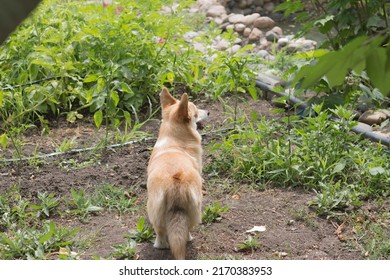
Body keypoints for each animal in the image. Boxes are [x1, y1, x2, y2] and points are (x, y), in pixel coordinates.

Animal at [146, 88, 209, 260]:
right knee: (185, 230)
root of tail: (176, 181)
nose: (208, 111)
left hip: (155, 210)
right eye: (196, 113)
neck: (174, 140)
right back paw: (188, 238)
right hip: (195, 209)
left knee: (161, 235)